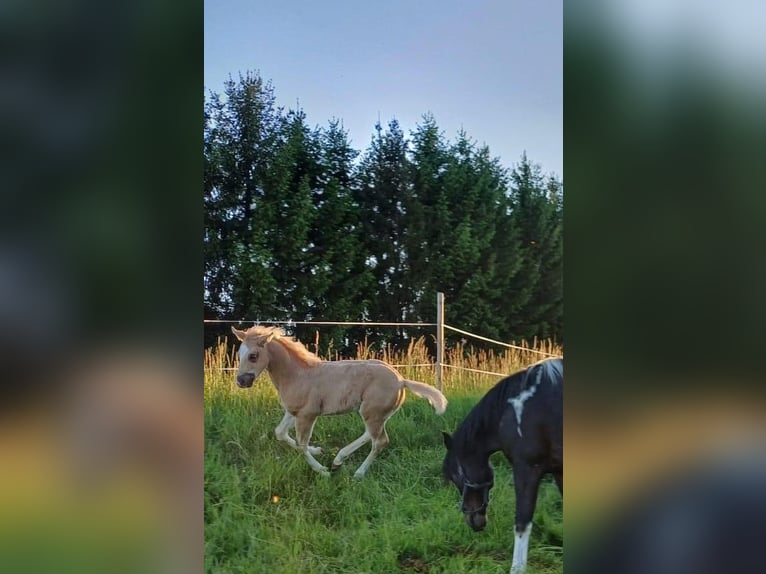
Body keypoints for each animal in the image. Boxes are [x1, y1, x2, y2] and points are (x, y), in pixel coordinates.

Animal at [231, 326, 448, 478]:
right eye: (239, 354)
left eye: (253, 355)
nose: (241, 381)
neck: (297, 375)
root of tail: (402, 380)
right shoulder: (293, 411)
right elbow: (280, 433)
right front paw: (318, 451)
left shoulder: (307, 415)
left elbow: (301, 444)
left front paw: (322, 470)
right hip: (376, 413)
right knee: (371, 435)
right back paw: (338, 459)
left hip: (372, 413)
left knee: (380, 441)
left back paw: (357, 473)